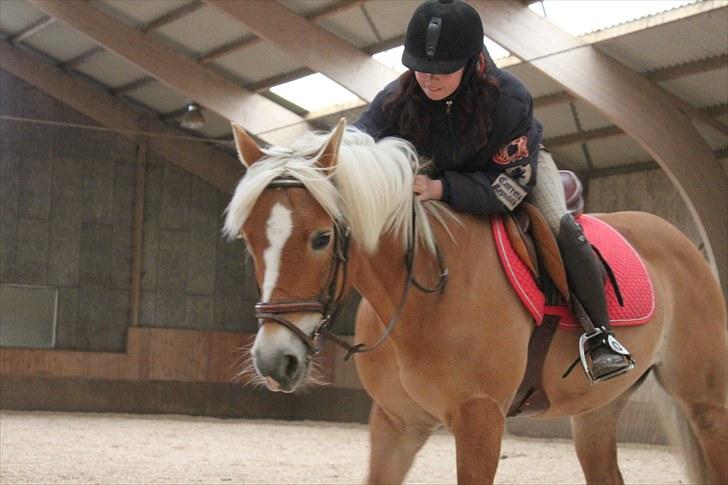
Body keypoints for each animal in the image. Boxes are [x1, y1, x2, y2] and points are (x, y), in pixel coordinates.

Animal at [225, 118, 724, 484]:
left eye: (321, 238)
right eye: (248, 240)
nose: (274, 360)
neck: (420, 297)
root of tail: (685, 242)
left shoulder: (480, 418)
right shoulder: (396, 424)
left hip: (703, 403)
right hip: (597, 411)